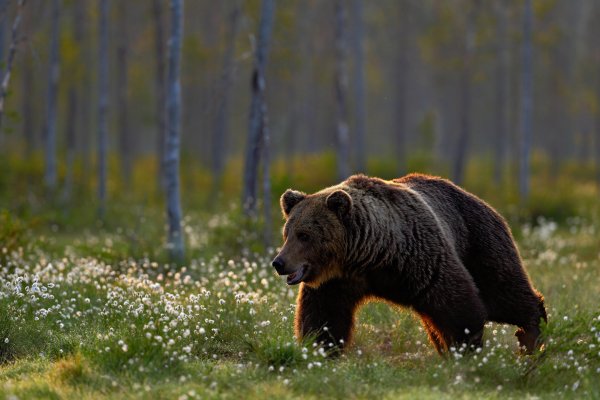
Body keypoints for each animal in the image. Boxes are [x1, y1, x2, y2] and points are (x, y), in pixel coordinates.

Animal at [274, 173, 548, 354]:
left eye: (305, 235)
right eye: (287, 233)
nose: (279, 262)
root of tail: (487, 204)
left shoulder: (421, 257)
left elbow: (459, 306)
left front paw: (466, 348)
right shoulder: (336, 282)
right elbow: (322, 318)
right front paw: (319, 349)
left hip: (479, 241)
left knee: (504, 293)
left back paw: (531, 335)